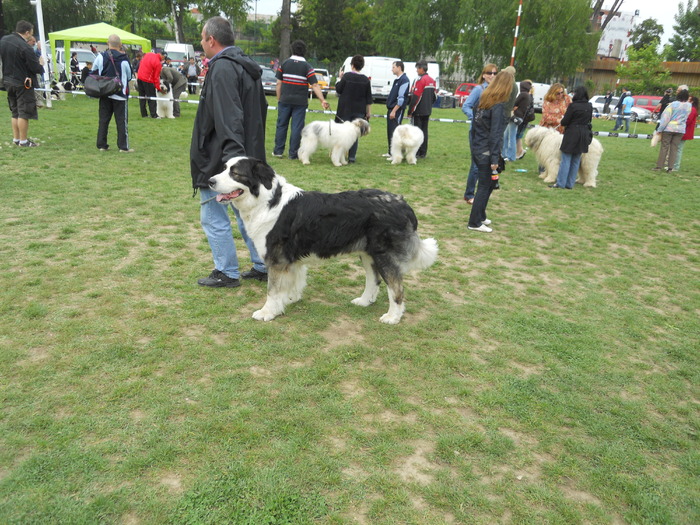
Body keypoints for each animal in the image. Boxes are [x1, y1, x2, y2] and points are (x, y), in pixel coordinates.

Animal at [209, 156, 438, 324]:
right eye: (224, 168)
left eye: (235, 173)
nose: (210, 181)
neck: (267, 201)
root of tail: (403, 204)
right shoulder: (291, 259)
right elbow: (294, 281)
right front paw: (290, 300)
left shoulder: (277, 259)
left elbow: (272, 290)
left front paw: (267, 312)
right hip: (368, 253)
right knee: (374, 279)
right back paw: (364, 301)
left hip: (384, 255)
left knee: (396, 287)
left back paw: (393, 317)